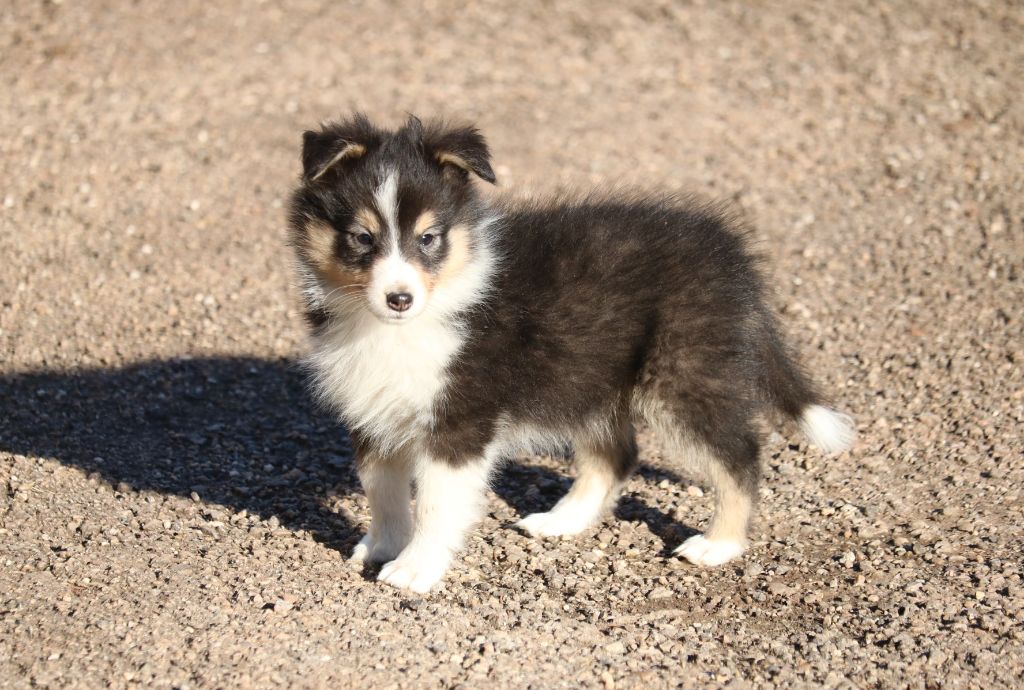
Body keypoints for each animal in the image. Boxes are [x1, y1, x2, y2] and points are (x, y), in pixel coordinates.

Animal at [286, 112, 856, 589]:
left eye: (429, 238)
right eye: (361, 237)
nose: (399, 298)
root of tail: (732, 257)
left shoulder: (459, 421)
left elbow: (434, 503)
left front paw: (415, 569)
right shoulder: (373, 408)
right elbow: (381, 489)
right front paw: (381, 547)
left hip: (682, 376)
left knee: (739, 456)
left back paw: (718, 545)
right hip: (591, 376)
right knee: (617, 455)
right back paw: (563, 521)